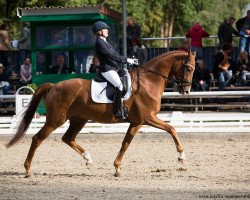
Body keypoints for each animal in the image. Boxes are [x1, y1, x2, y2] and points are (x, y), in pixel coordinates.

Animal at [5, 49, 196, 177]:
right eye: (188, 68)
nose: (186, 91)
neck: (149, 81)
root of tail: (54, 86)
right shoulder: (148, 118)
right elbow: (172, 129)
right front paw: (182, 157)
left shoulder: (137, 122)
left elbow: (125, 143)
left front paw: (117, 167)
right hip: (55, 120)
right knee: (37, 139)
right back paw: (28, 169)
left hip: (78, 120)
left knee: (68, 138)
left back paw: (88, 159)